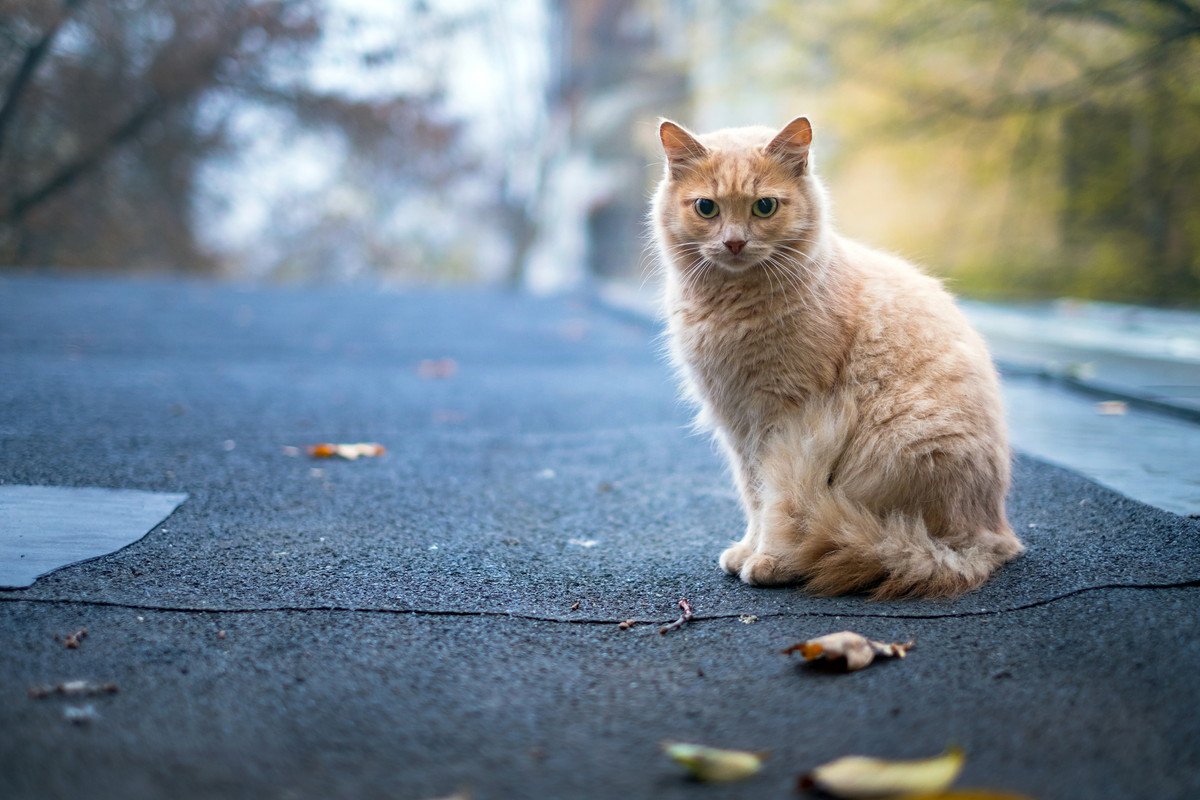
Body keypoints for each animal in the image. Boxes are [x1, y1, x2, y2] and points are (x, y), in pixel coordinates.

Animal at [652, 115, 1027, 597]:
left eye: (764, 207)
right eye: (706, 208)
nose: (734, 243)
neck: (735, 308)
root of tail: (992, 538)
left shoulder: (788, 423)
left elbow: (777, 504)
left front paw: (772, 559)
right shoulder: (740, 426)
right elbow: (754, 497)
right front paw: (748, 549)